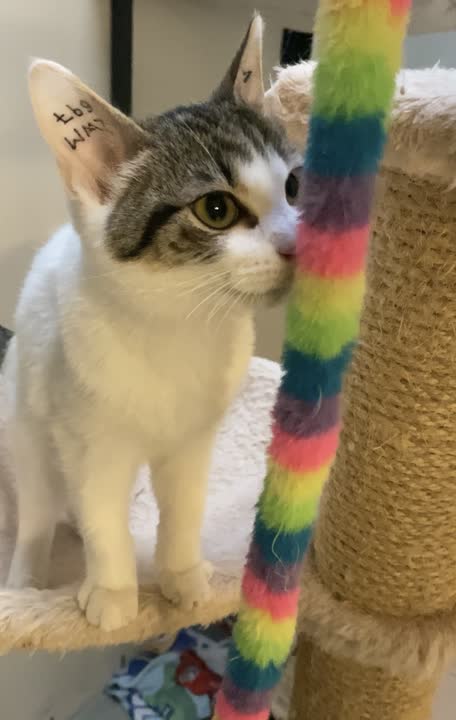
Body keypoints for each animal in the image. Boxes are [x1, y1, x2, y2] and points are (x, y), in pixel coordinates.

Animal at [3, 15, 300, 631]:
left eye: (292, 187)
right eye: (216, 210)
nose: (297, 243)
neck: (175, 330)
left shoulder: (194, 440)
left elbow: (184, 506)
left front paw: (181, 574)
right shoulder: (89, 441)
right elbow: (101, 516)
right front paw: (114, 591)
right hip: (28, 421)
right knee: (41, 507)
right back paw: (26, 583)